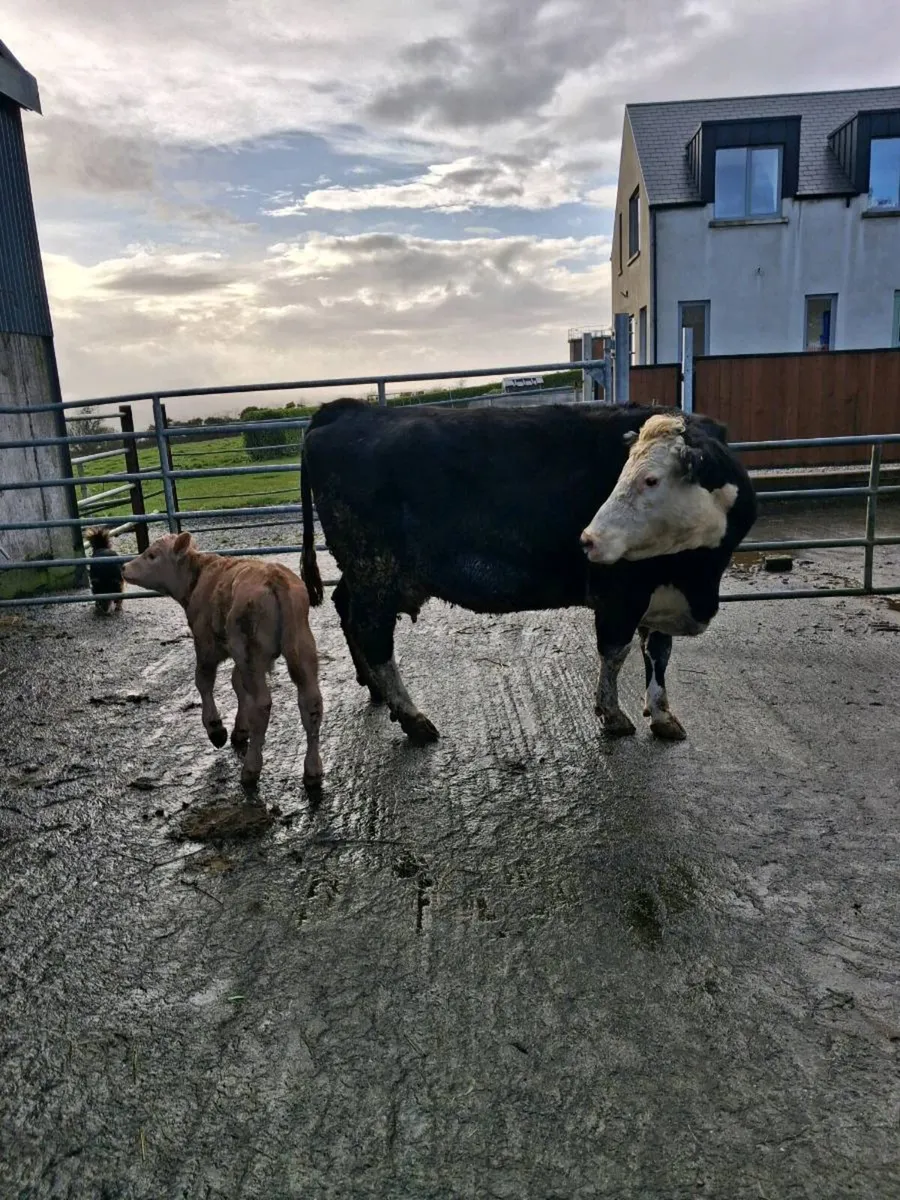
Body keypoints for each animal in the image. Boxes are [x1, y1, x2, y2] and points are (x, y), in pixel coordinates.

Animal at [123, 533, 323, 790]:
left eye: (152, 555)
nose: (123, 567)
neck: (199, 576)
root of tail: (274, 577)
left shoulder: (206, 645)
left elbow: (204, 682)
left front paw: (216, 729)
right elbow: (237, 685)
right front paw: (240, 729)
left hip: (251, 652)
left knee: (262, 704)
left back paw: (251, 768)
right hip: (301, 646)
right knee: (311, 703)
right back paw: (313, 770)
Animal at [299, 399, 756, 746]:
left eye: (651, 479)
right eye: (627, 475)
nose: (588, 538)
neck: (697, 578)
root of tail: (349, 409)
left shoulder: (662, 592)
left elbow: (659, 652)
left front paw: (661, 714)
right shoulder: (620, 594)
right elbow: (616, 652)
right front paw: (611, 714)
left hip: (363, 574)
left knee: (343, 606)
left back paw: (376, 690)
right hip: (374, 572)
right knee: (374, 636)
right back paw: (412, 717)